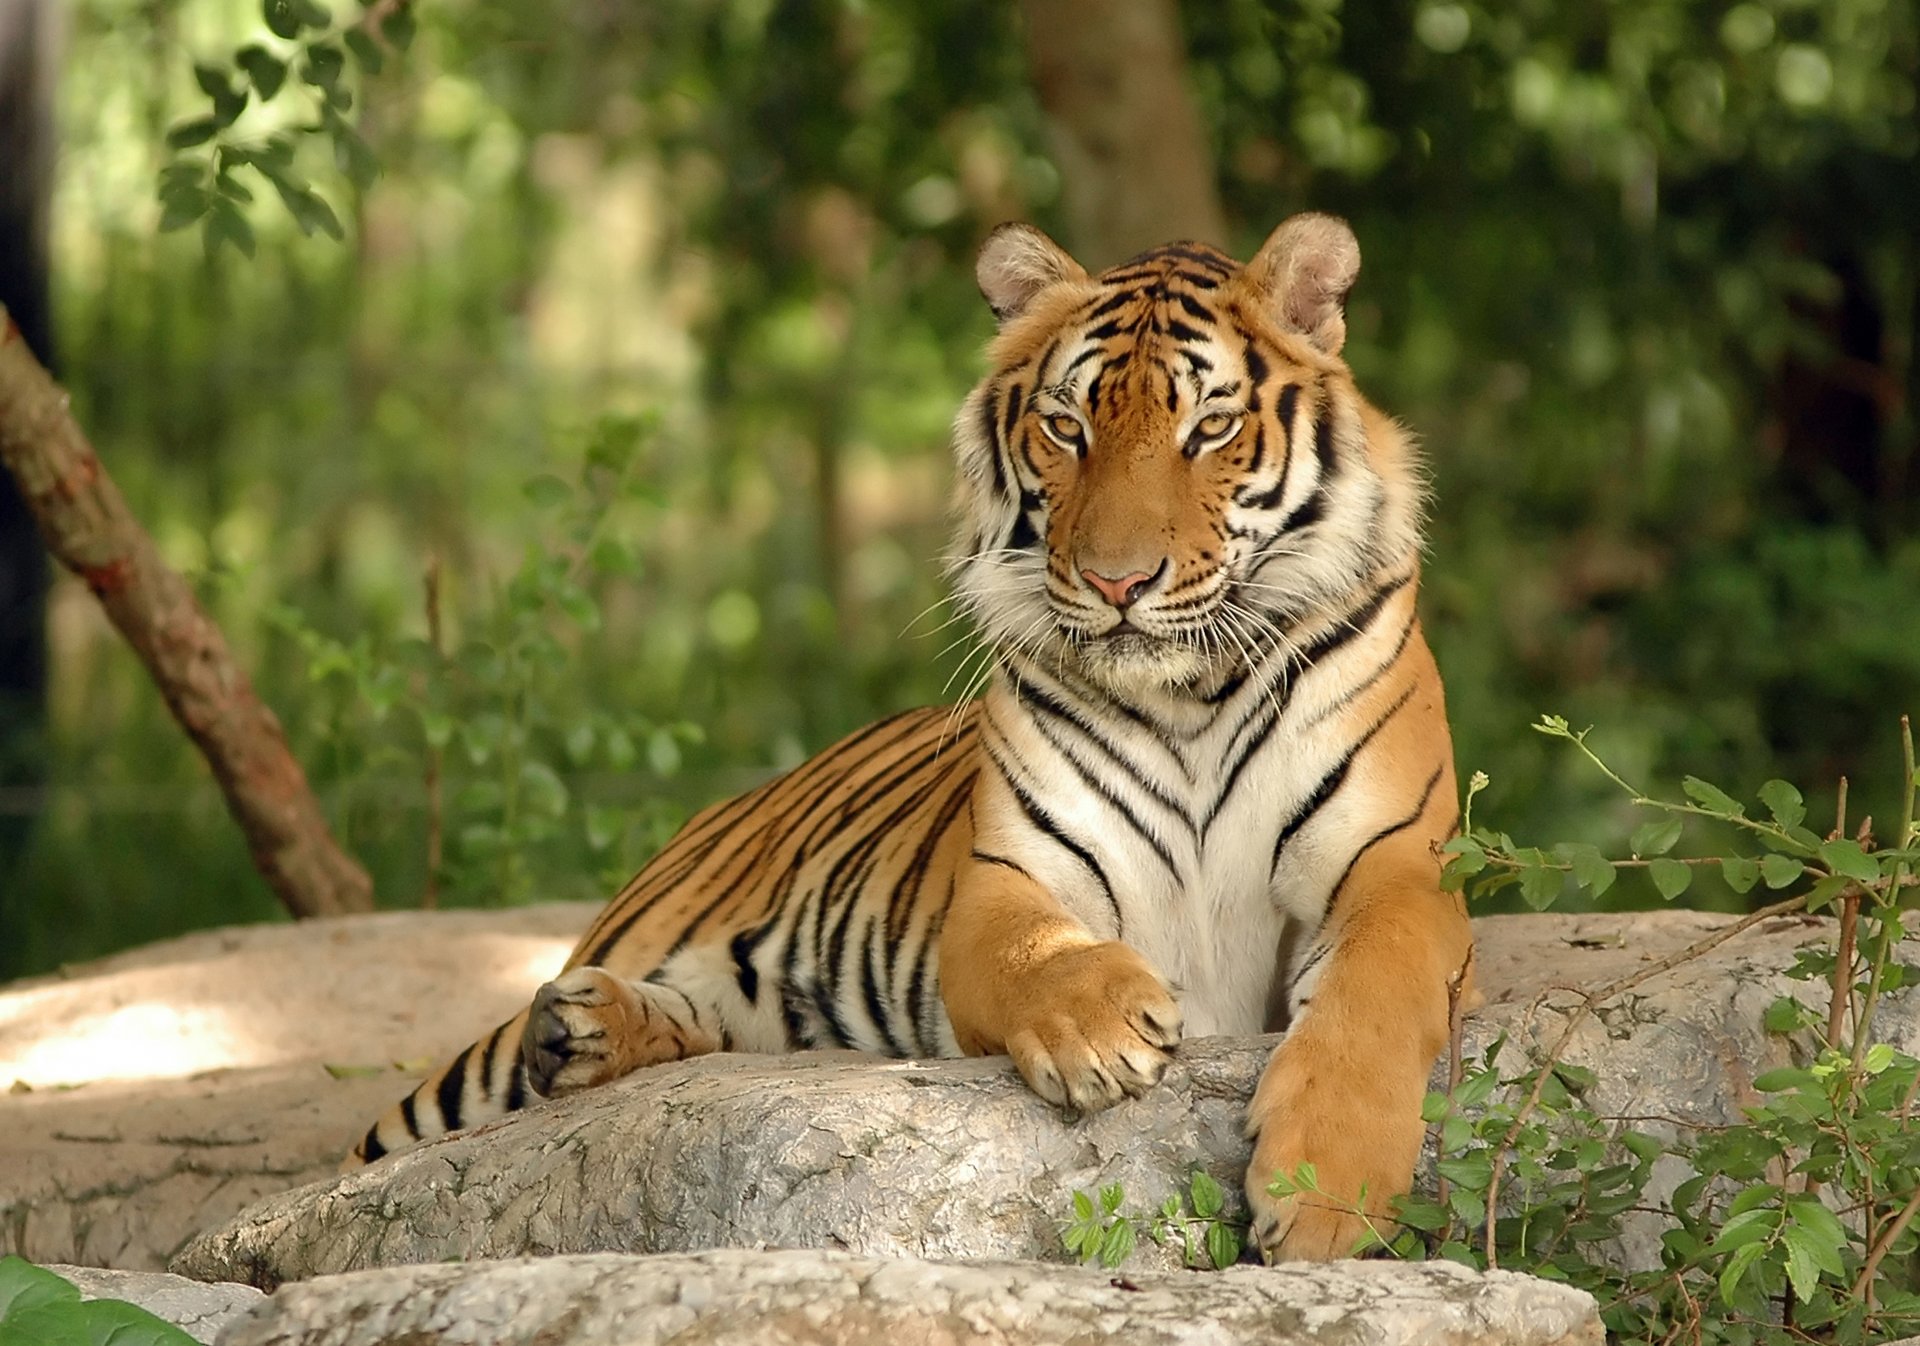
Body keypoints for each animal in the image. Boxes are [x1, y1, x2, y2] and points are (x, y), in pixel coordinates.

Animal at [349, 212, 1474, 1263]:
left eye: (1210, 425)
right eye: (1066, 427)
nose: (1116, 582)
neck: (1187, 698)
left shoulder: (1399, 867)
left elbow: (1373, 996)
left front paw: (1327, 1200)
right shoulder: (1010, 877)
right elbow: (1031, 952)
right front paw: (1103, 1026)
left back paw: (578, 1033)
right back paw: (567, 1027)